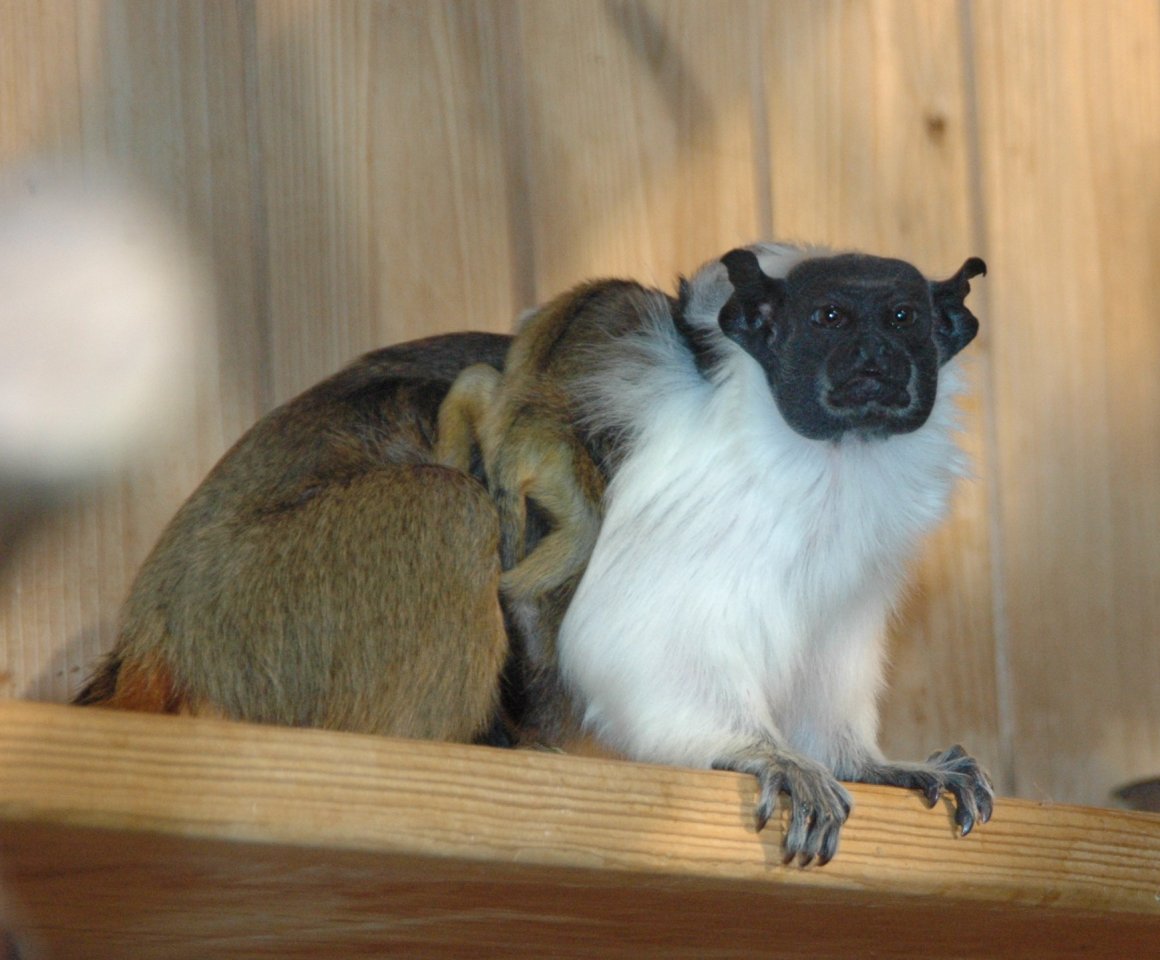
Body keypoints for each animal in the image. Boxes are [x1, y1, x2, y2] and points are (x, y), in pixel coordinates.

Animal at [438, 243, 992, 867]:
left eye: (902, 318)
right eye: (830, 317)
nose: (874, 355)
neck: (835, 462)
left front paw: (866, 763)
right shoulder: (711, 496)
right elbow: (632, 636)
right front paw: (764, 753)